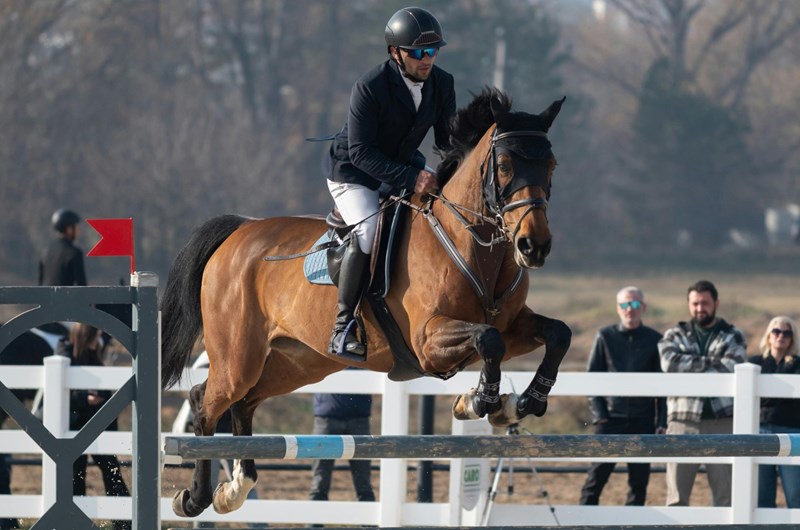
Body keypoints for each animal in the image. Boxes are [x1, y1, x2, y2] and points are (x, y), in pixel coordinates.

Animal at [160, 88, 572, 518]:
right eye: (505, 166)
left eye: (551, 165)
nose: (534, 246)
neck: (474, 245)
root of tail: (240, 230)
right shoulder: (428, 341)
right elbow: (488, 339)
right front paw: (478, 402)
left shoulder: (514, 323)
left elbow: (557, 334)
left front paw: (520, 403)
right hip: (239, 357)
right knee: (205, 401)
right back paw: (195, 498)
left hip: (298, 363)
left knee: (243, 403)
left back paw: (236, 488)